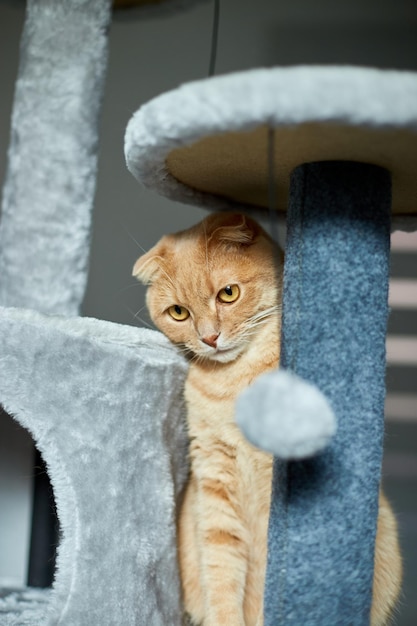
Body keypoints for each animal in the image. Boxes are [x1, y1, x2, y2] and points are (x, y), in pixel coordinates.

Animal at [132, 211, 400, 624]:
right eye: (179, 312)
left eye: (228, 293)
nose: (209, 338)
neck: (234, 386)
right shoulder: (214, 479)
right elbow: (221, 572)